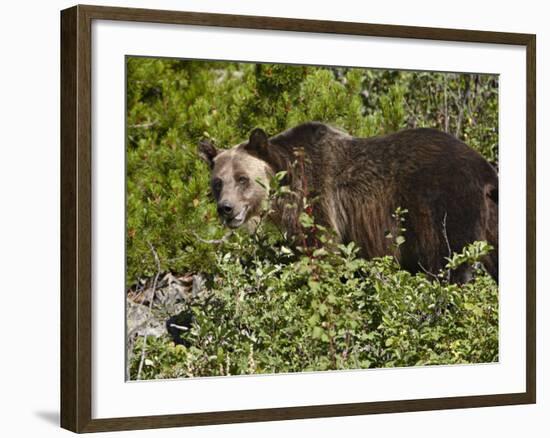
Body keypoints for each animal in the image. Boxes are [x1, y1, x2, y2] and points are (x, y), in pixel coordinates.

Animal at [199, 122, 500, 284]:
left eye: (242, 179)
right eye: (218, 182)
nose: (226, 208)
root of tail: (484, 169)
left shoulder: (316, 198)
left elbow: (321, 249)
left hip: (443, 208)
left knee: (446, 262)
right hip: (493, 216)